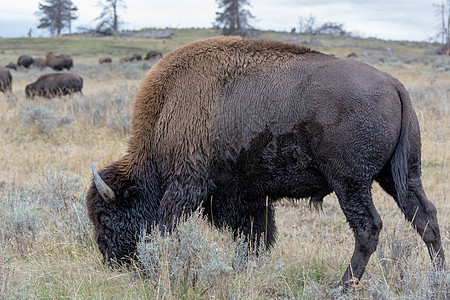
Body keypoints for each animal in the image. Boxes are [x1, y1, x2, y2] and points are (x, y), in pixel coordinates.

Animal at [86, 35, 444, 288]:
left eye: (105, 216)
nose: (109, 259)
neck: (168, 109)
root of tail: (395, 86)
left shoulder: (186, 184)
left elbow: (168, 225)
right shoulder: (248, 196)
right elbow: (255, 235)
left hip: (351, 182)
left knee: (368, 228)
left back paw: (341, 286)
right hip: (398, 175)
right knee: (424, 216)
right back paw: (438, 278)